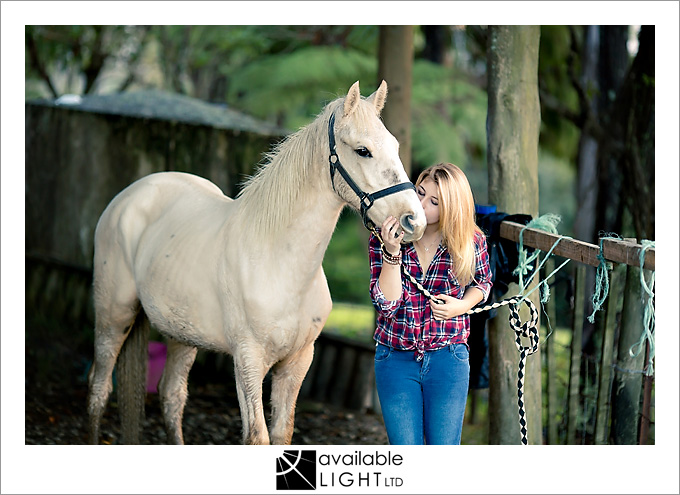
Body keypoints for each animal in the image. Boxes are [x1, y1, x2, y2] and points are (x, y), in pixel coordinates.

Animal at [85, 81, 424, 446]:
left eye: (395, 145)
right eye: (363, 150)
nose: (413, 222)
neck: (280, 262)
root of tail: (130, 196)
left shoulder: (298, 361)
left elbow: (281, 433)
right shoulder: (248, 360)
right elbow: (257, 437)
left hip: (181, 334)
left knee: (171, 396)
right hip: (113, 316)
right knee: (98, 388)